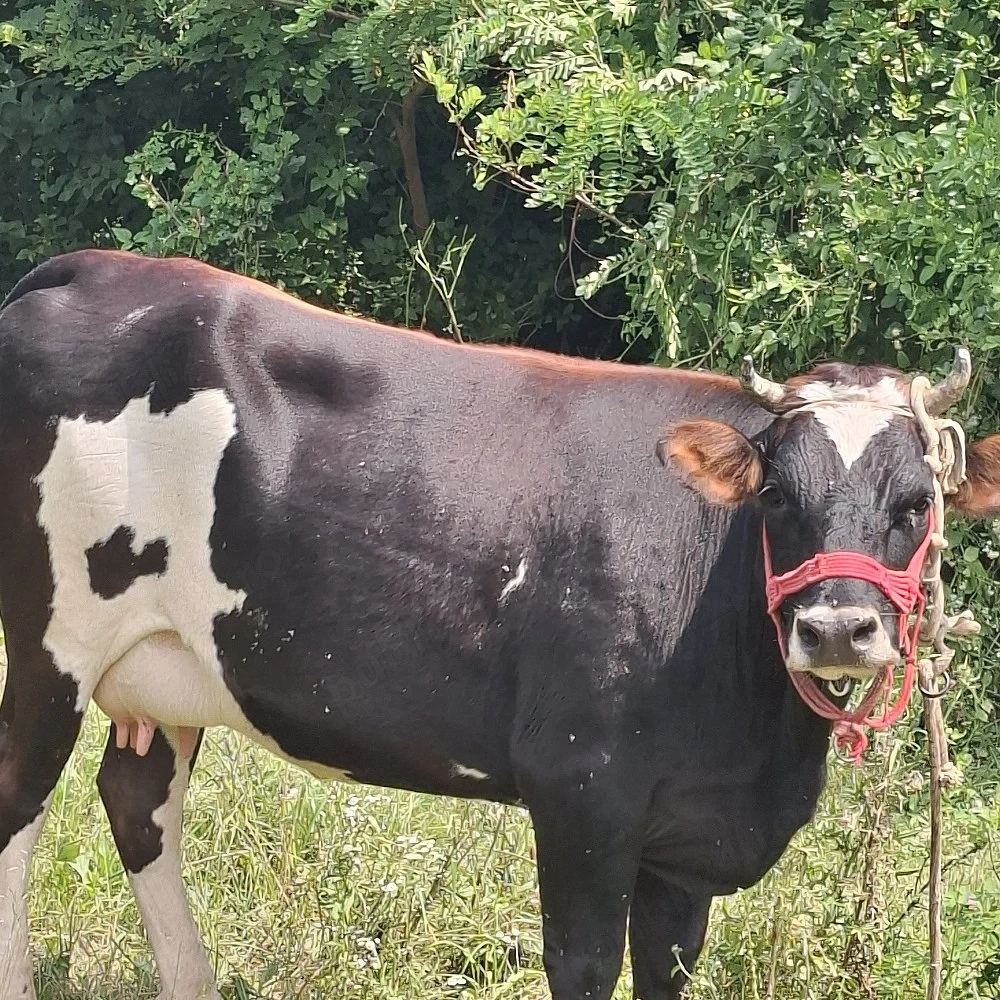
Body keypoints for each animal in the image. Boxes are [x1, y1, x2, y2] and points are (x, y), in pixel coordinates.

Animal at [0, 249, 998, 1000]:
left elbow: (665, 971)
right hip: (51, 647)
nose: (837, 628)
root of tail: (89, 269)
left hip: (170, 661)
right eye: (779, 496)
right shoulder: (580, 789)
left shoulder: (685, 840)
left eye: (917, 503)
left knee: (138, 802)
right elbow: (584, 967)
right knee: (20, 802)